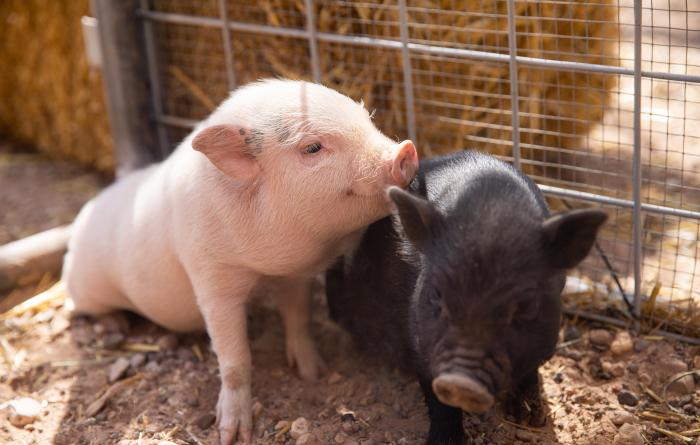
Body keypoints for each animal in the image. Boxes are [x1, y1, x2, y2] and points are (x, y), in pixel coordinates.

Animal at [62, 79, 418, 445]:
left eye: (367, 118)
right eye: (313, 148)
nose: (405, 150)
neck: (264, 269)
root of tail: (78, 225)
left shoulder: (295, 275)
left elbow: (299, 319)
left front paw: (314, 374)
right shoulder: (212, 277)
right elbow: (234, 358)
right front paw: (232, 433)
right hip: (86, 287)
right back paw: (115, 325)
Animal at [326, 150, 606, 444]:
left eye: (526, 306)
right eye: (436, 294)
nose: (462, 382)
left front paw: (530, 418)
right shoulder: (420, 338)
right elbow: (437, 399)